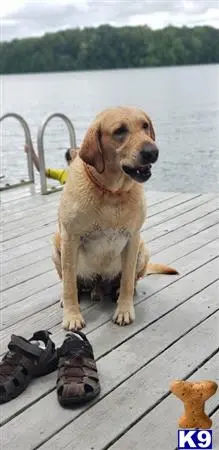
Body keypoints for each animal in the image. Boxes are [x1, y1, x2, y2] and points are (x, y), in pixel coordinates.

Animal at [53, 106, 178, 330]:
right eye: (120, 131)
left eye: (145, 126)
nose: (152, 152)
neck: (112, 193)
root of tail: (98, 286)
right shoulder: (69, 237)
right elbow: (69, 285)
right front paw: (72, 315)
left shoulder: (133, 238)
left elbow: (127, 279)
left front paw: (124, 310)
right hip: (56, 244)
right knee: (72, 282)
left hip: (143, 249)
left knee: (130, 281)